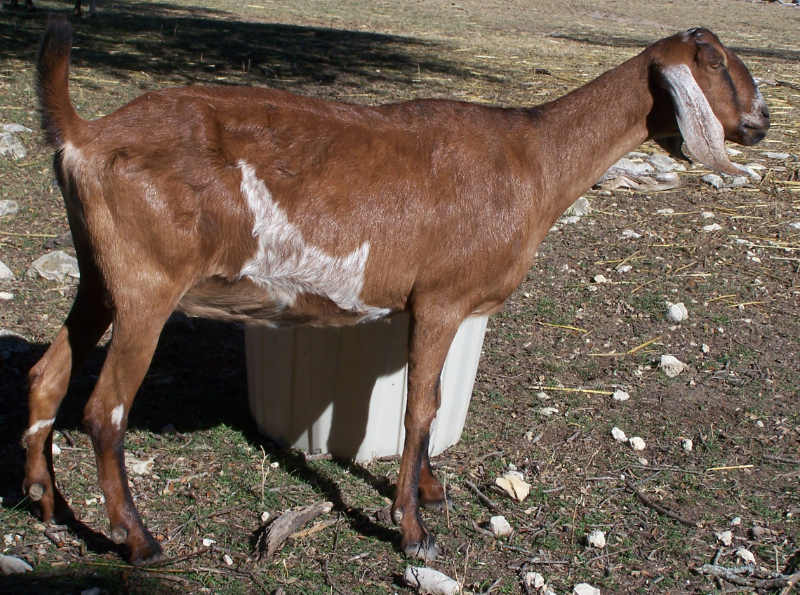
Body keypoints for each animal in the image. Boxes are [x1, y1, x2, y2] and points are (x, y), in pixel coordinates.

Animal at [26, 15, 768, 564]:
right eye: (713, 60)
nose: (760, 121)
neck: (535, 159)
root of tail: (86, 133)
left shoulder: (442, 306)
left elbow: (432, 404)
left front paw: (433, 491)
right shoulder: (439, 300)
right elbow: (417, 410)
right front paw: (413, 528)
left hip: (100, 277)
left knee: (47, 375)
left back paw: (46, 502)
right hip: (147, 285)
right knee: (104, 409)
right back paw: (140, 540)